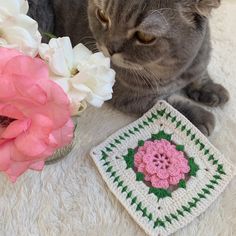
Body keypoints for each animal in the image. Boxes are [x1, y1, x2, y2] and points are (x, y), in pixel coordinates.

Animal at [28, 0, 230, 136]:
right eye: (102, 15)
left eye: (145, 36)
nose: (110, 48)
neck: (172, 71)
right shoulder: (132, 97)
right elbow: (167, 102)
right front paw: (200, 116)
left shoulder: (199, 61)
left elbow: (201, 73)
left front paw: (212, 89)